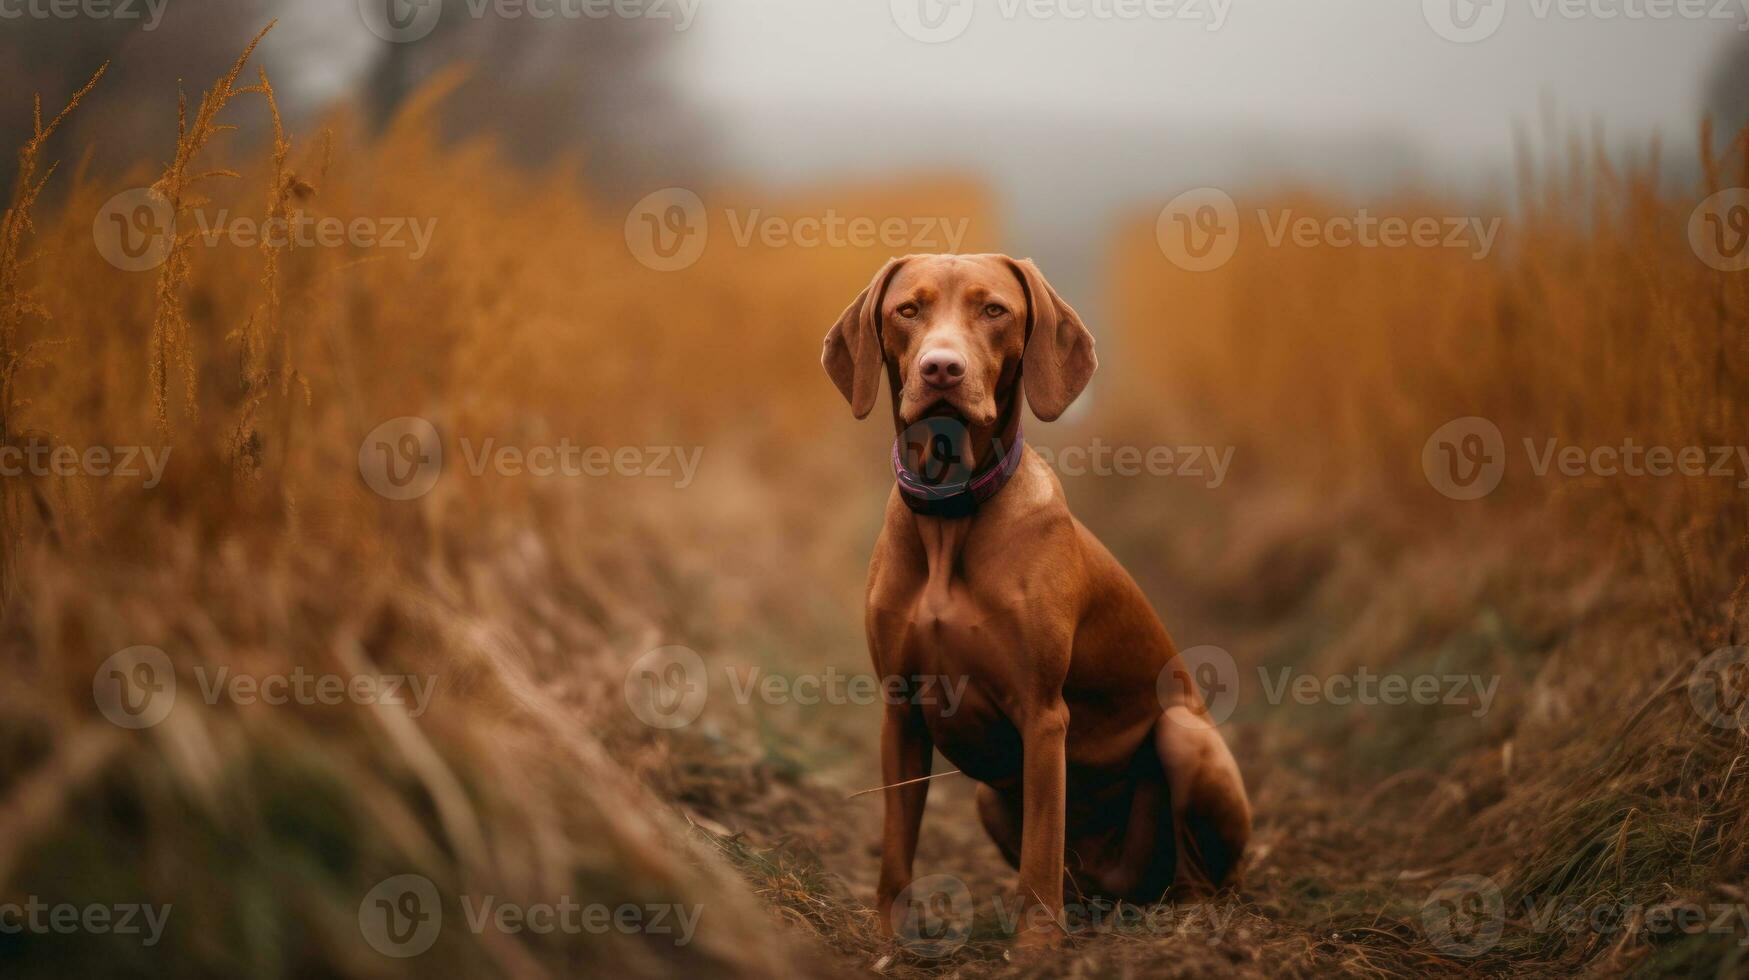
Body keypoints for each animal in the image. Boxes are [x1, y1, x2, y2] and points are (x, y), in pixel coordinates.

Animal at [822, 252, 1252, 952]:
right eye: (907, 310)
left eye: (994, 310)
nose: (941, 368)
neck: (950, 514)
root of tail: (1119, 888)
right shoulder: (901, 710)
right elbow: (896, 844)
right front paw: (887, 937)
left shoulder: (1043, 715)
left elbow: (1041, 849)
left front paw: (1034, 949)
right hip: (993, 802)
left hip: (1185, 735)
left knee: (1199, 874)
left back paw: (1185, 920)